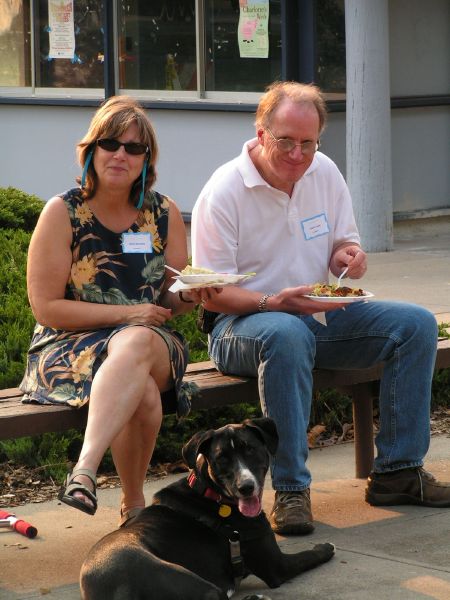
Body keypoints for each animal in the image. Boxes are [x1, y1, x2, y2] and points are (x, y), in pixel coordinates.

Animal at [80, 418, 335, 600]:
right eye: (222, 458)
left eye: (250, 449)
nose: (245, 487)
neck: (213, 495)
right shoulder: (277, 566)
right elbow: (310, 555)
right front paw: (325, 547)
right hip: (189, 582)